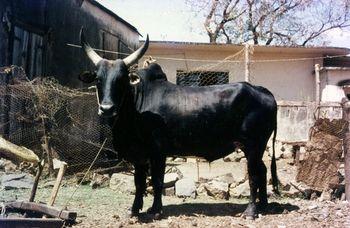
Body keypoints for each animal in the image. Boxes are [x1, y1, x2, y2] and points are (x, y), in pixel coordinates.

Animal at [78, 29, 278, 219]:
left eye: (121, 79)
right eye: (98, 79)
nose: (107, 108)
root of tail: (261, 90)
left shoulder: (158, 151)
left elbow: (157, 181)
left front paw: (155, 210)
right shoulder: (139, 155)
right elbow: (139, 182)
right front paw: (134, 209)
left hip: (253, 146)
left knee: (254, 175)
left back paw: (251, 211)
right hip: (255, 148)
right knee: (263, 170)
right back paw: (263, 205)